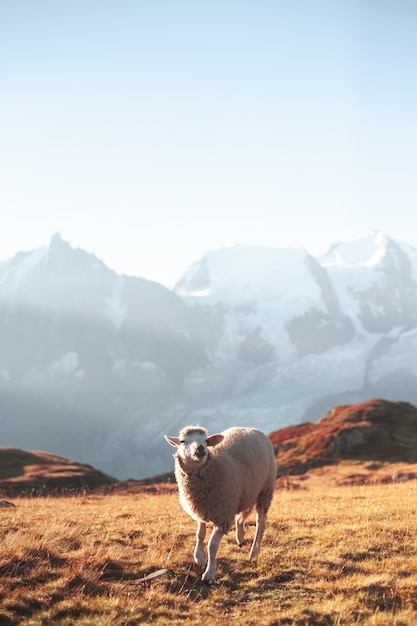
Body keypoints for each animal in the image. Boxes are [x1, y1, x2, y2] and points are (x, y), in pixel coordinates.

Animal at [164, 422, 274, 584]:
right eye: (183, 441)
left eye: (206, 441)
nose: (200, 448)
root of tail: (248, 428)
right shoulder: (202, 509)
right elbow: (200, 534)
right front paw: (199, 558)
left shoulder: (222, 515)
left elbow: (212, 545)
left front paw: (209, 573)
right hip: (244, 493)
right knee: (240, 517)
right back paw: (240, 538)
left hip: (264, 490)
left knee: (260, 522)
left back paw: (254, 551)